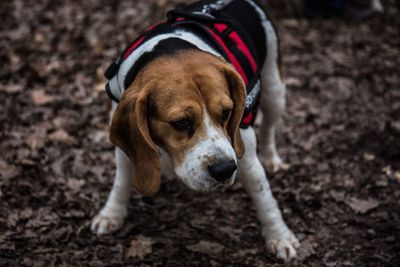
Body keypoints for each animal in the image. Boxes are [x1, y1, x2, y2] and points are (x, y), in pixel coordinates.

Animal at [91, 0, 300, 262]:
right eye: (181, 122)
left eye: (227, 112)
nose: (224, 170)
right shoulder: (125, 148)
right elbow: (121, 182)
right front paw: (111, 213)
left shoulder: (246, 156)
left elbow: (264, 197)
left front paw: (280, 237)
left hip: (274, 89)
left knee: (270, 127)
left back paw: (272, 159)